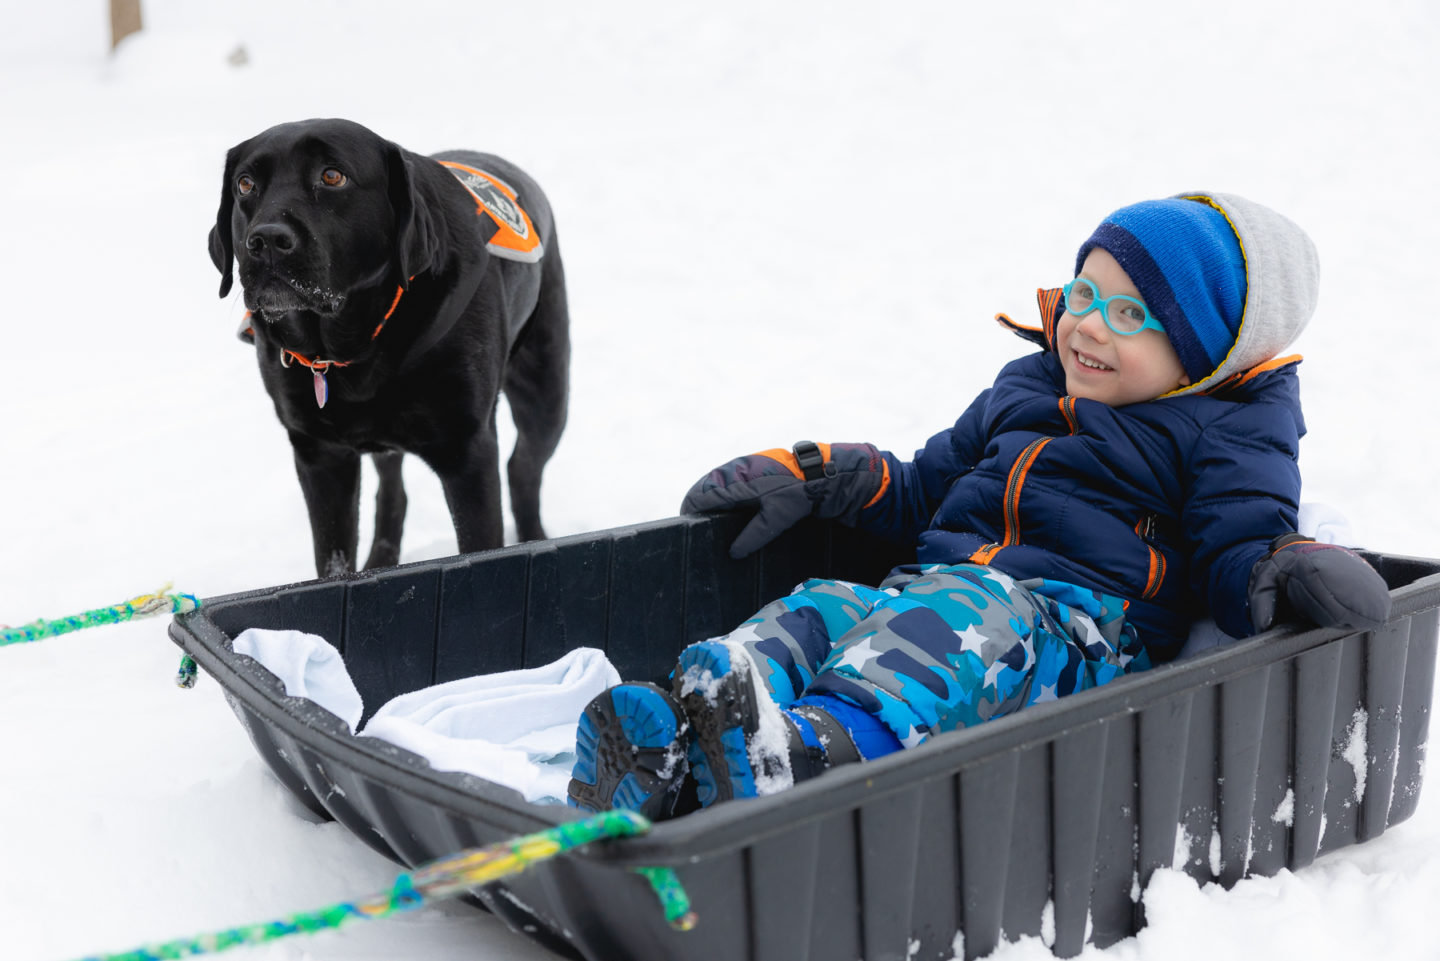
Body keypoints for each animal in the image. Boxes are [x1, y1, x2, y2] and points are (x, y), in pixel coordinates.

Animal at [208, 117, 567, 576]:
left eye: (332, 176)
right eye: (246, 184)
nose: (266, 240)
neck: (349, 346)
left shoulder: (468, 451)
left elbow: (481, 543)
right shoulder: (319, 454)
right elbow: (333, 556)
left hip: (546, 389)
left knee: (523, 470)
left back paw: (535, 539)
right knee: (393, 489)